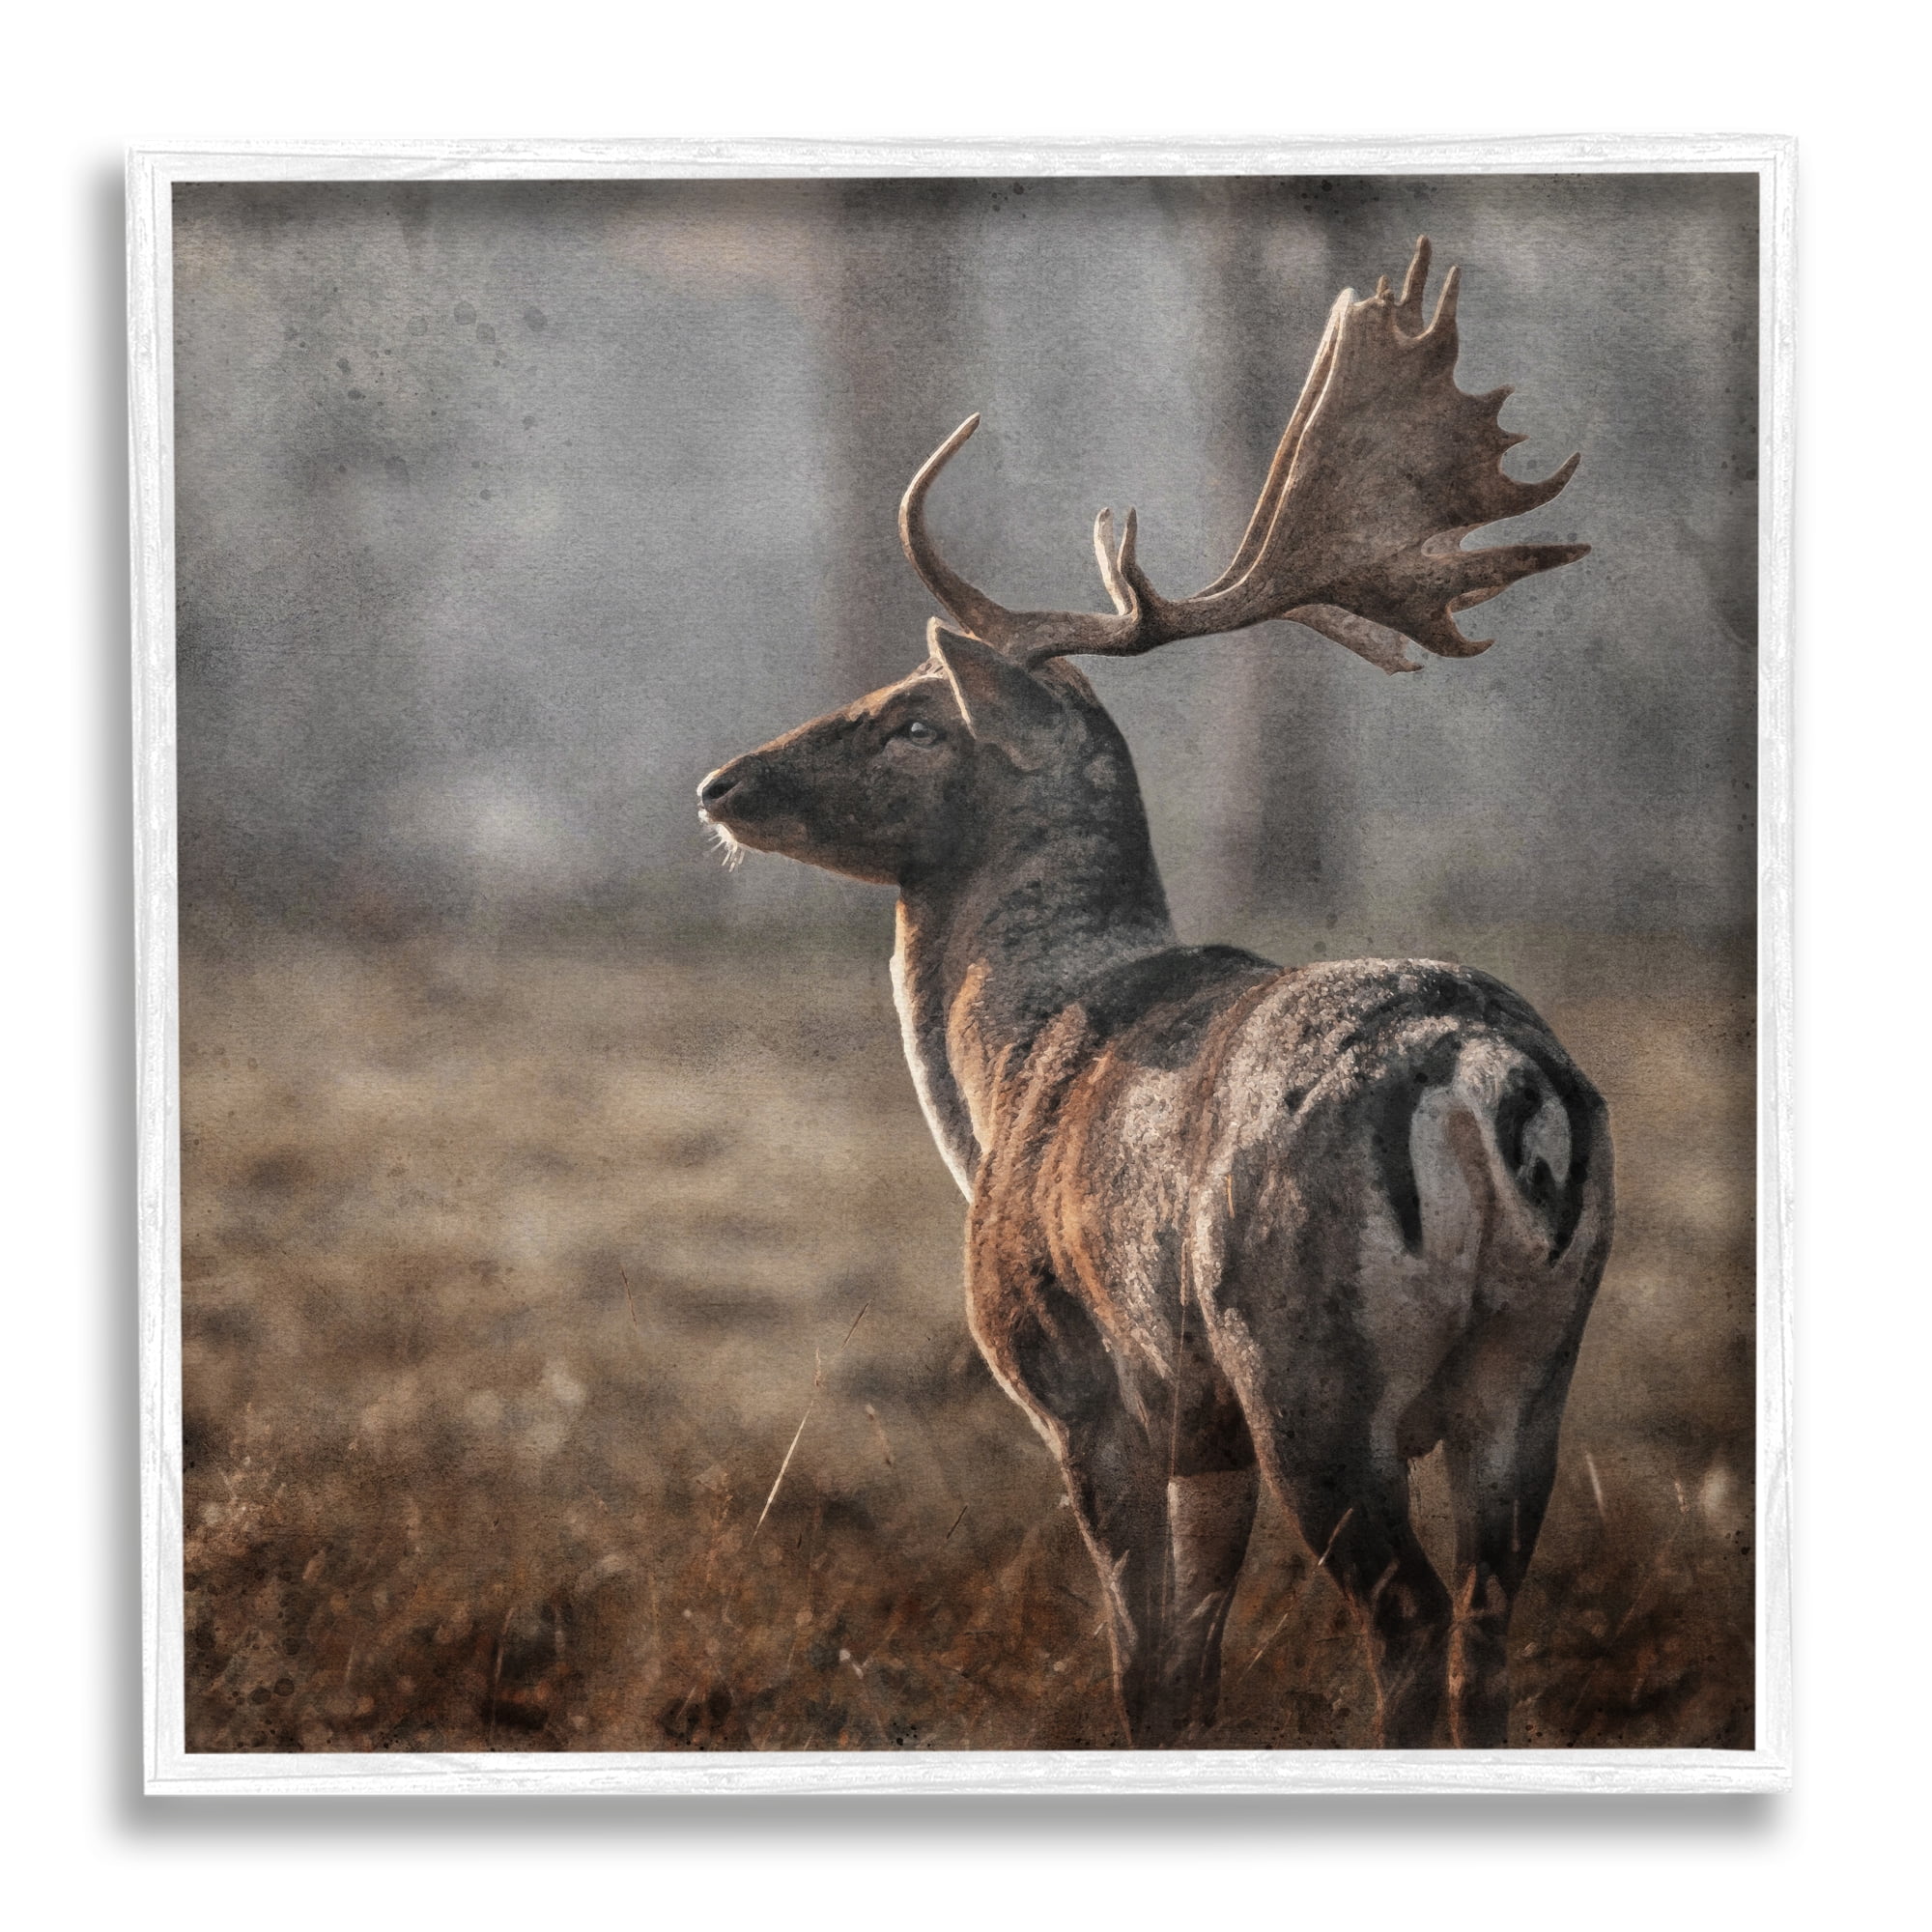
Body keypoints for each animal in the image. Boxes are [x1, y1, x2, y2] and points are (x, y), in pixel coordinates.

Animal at [696, 238, 1612, 1750]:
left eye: (913, 717)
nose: (723, 782)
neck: (1005, 1073)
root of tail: (1492, 1081)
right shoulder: (1204, 1430)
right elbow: (1196, 1662)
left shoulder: (1087, 1384)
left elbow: (1142, 1664)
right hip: (1531, 1370)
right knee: (1488, 1626)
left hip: (1308, 1366)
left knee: (1407, 1615)